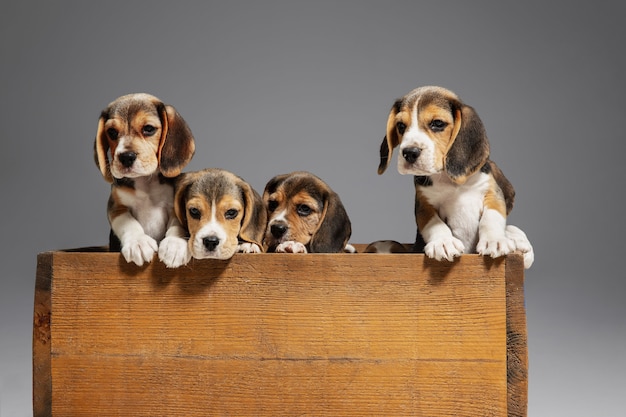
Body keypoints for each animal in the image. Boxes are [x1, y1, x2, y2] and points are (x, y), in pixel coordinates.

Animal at [92, 92, 194, 266]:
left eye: (148, 129)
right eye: (112, 132)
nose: (126, 157)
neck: (146, 182)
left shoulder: (175, 207)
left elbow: (177, 225)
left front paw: (175, 244)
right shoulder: (116, 207)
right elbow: (128, 222)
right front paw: (138, 242)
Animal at [376, 86, 532, 268]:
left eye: (437, 124)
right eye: (401, 126)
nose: (409, 152)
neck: (450, 181)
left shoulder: (492, 192)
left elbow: (492, 216)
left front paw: (495, 240)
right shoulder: (424, 204)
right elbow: (433, 223)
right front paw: (443, 242)